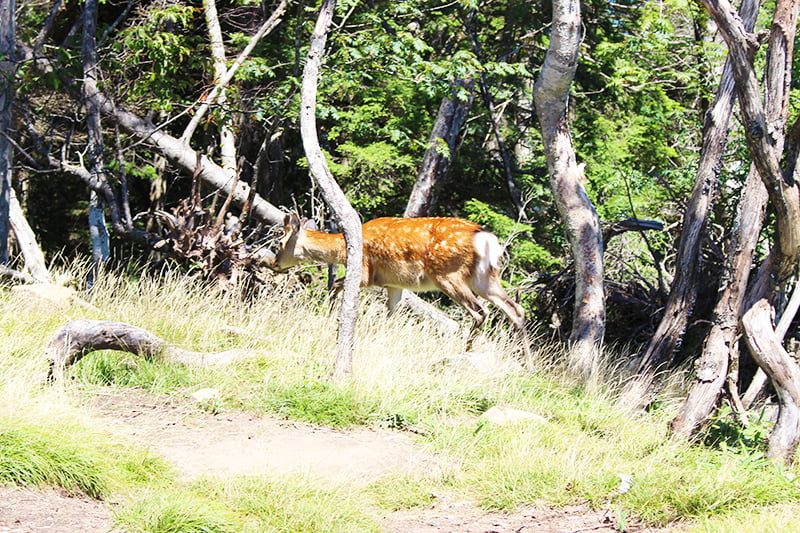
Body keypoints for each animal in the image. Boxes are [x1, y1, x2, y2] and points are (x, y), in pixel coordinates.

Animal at [272, 214, 536, 360]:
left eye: (280, 243)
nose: (274, 263)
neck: (344, 250)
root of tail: (486, 238)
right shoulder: (393, 284)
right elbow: (391, 316)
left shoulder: (367, 274)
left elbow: (336, 284)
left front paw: (328, 313)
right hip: (485, 277)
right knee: (515, 309)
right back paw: (528, 365)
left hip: (447, 274)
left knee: (480, 311)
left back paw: (466, 351)